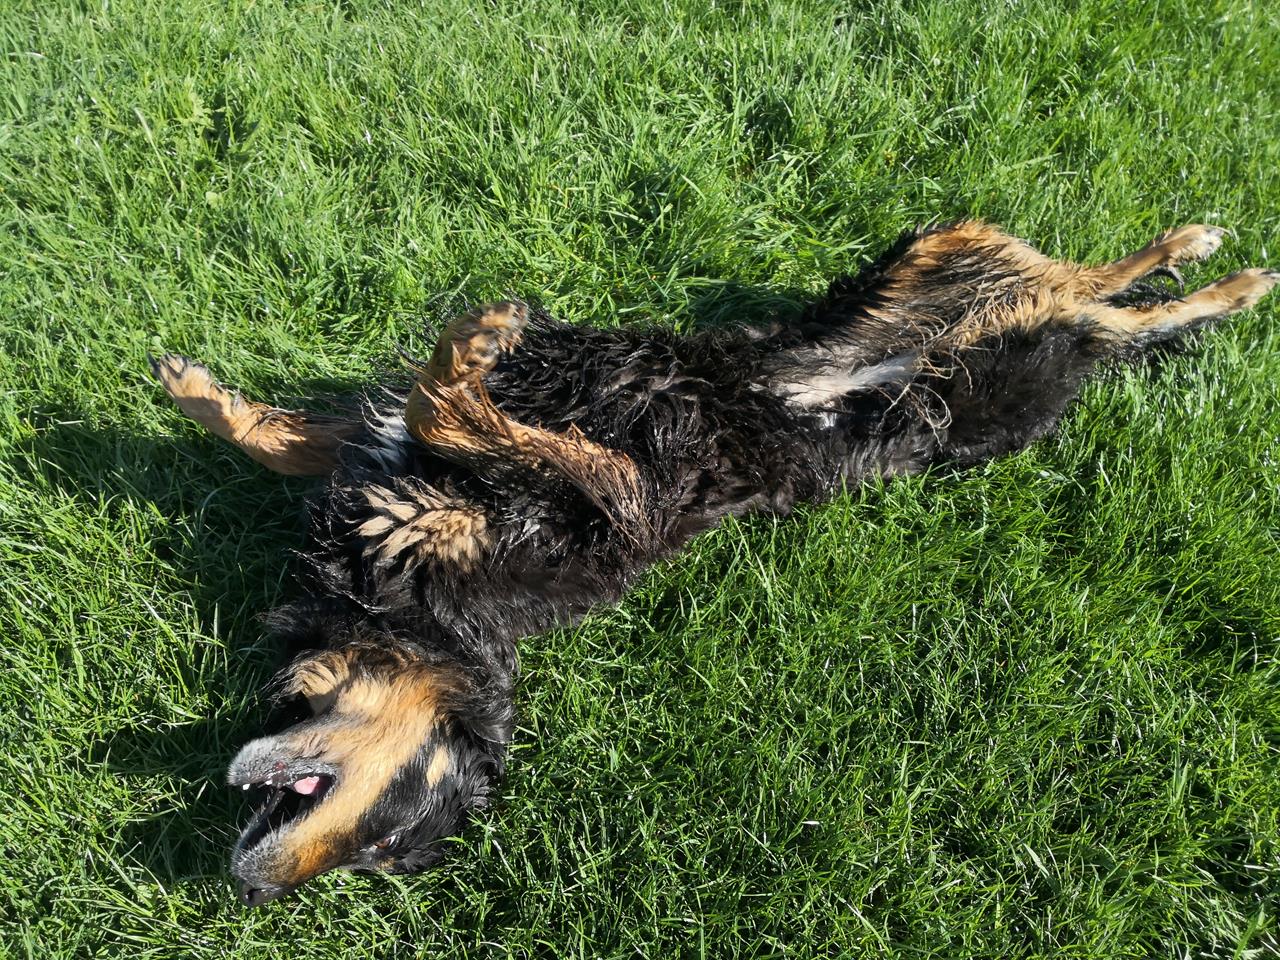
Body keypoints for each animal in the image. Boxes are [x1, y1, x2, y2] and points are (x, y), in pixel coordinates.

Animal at [151, 220, 1276, 906]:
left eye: (388, 838)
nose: (249, 889)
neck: (425, 610)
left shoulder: (613, 501)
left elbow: (456, 416)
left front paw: (464, 353)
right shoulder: (380, 469)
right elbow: (309, 438)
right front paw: (204, 394)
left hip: (973, 348)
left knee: (1102, 301)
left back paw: (1220, 269)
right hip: (949, 318)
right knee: (1097, 301)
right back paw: (1199, 260)